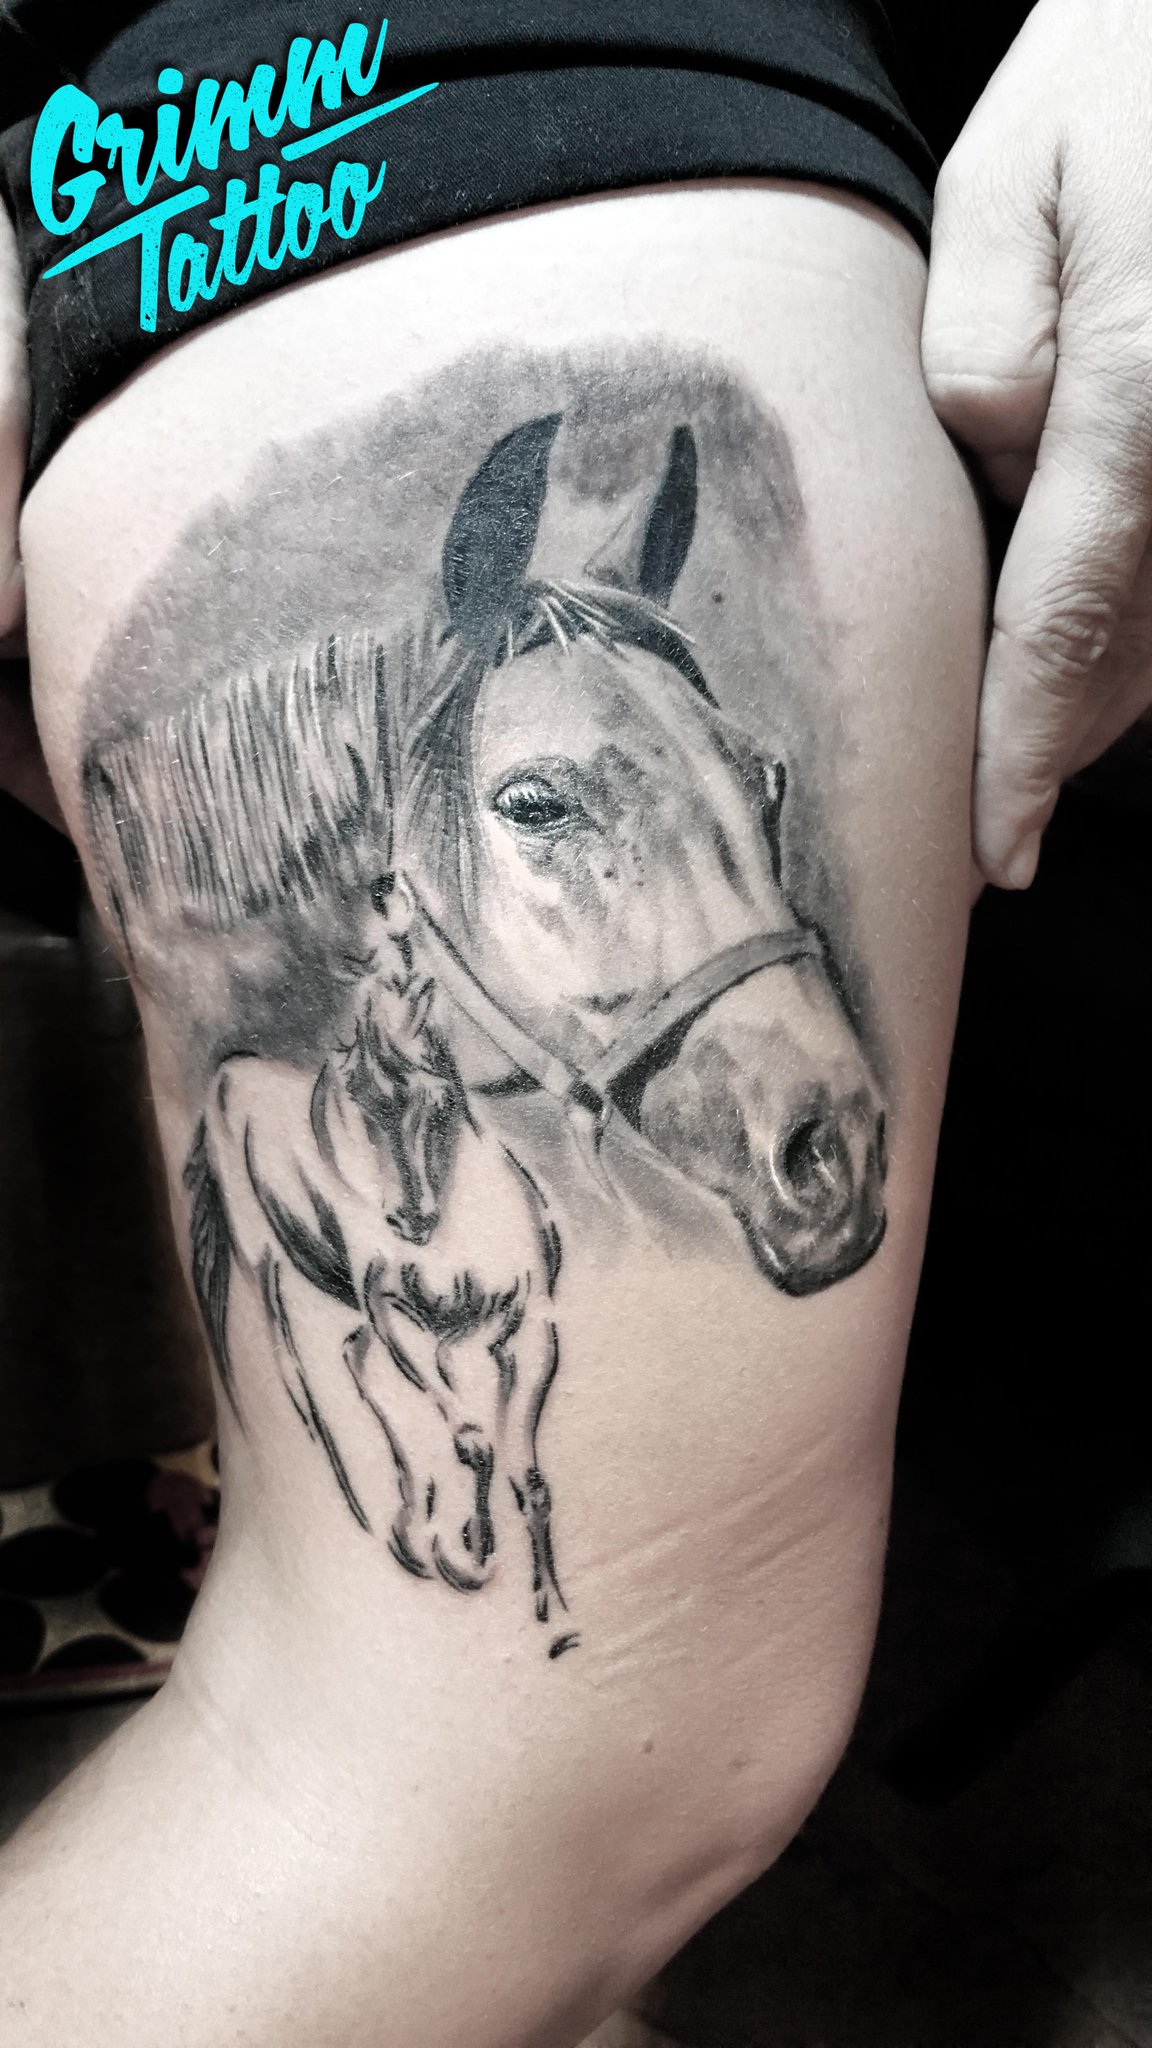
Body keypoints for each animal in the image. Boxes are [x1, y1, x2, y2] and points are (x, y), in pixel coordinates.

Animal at [186, 874, 568, 1631]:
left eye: (438, 1097)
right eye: (356, 1096)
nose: (411, 1219)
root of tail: (226, 1079)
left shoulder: (525, 1331)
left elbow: (526, 1475)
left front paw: (550, 1609)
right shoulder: (401, 1319)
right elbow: (473, 1441)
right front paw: (469, 1553)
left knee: (354, 1362)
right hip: (266, 1274)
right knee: (308, 1387)